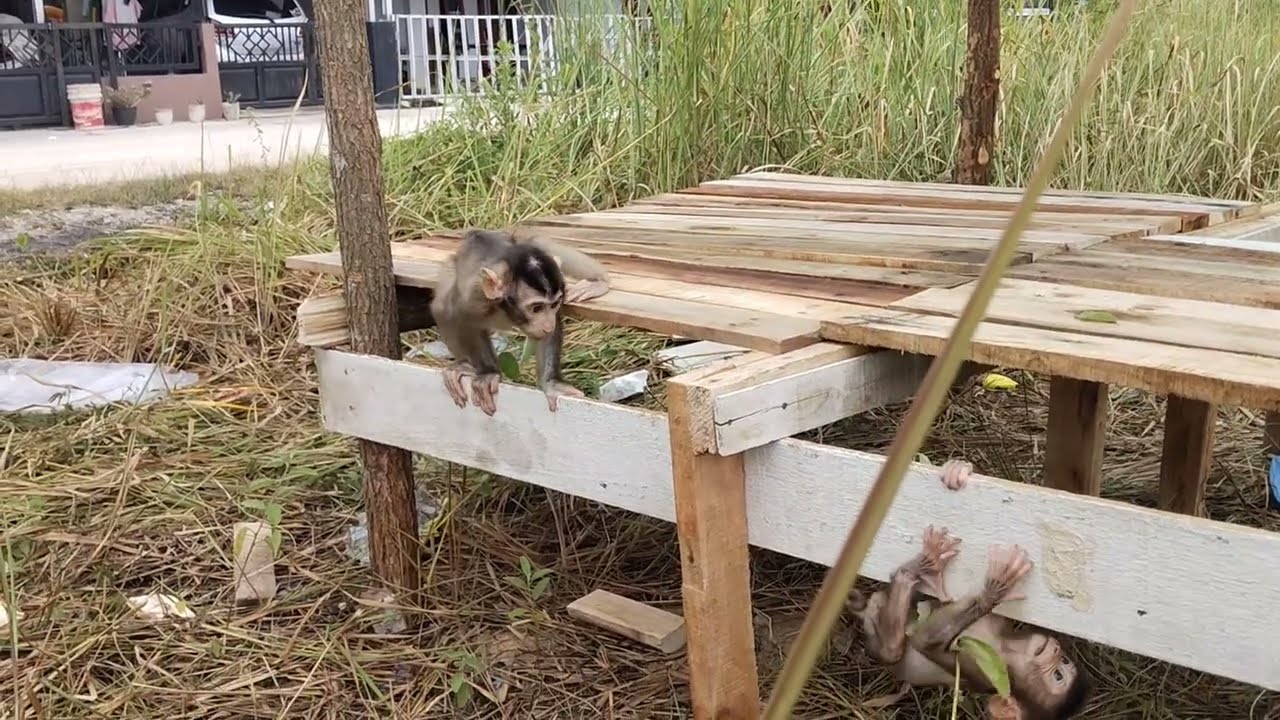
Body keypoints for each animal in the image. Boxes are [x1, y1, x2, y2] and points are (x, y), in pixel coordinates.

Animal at [429, 228, 611, 416]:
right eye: (537, 308)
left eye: (553, 305)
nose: (547, 324)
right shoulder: (473, 298)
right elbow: (461, 318)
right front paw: (489, 373)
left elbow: (548, 333)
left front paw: (551, 384)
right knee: (442, 306)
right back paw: (465, 365)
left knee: (538, 240)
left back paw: (599, 281)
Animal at [845, 458, 1093, 720]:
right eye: (1064, 663)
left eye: (1058, 675)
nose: (1056, 649)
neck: (1007, 647)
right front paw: (957, 471)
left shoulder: (988, 669)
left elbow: (924, 642)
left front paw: (995, 590)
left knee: (892, 649)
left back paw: (916, 570)